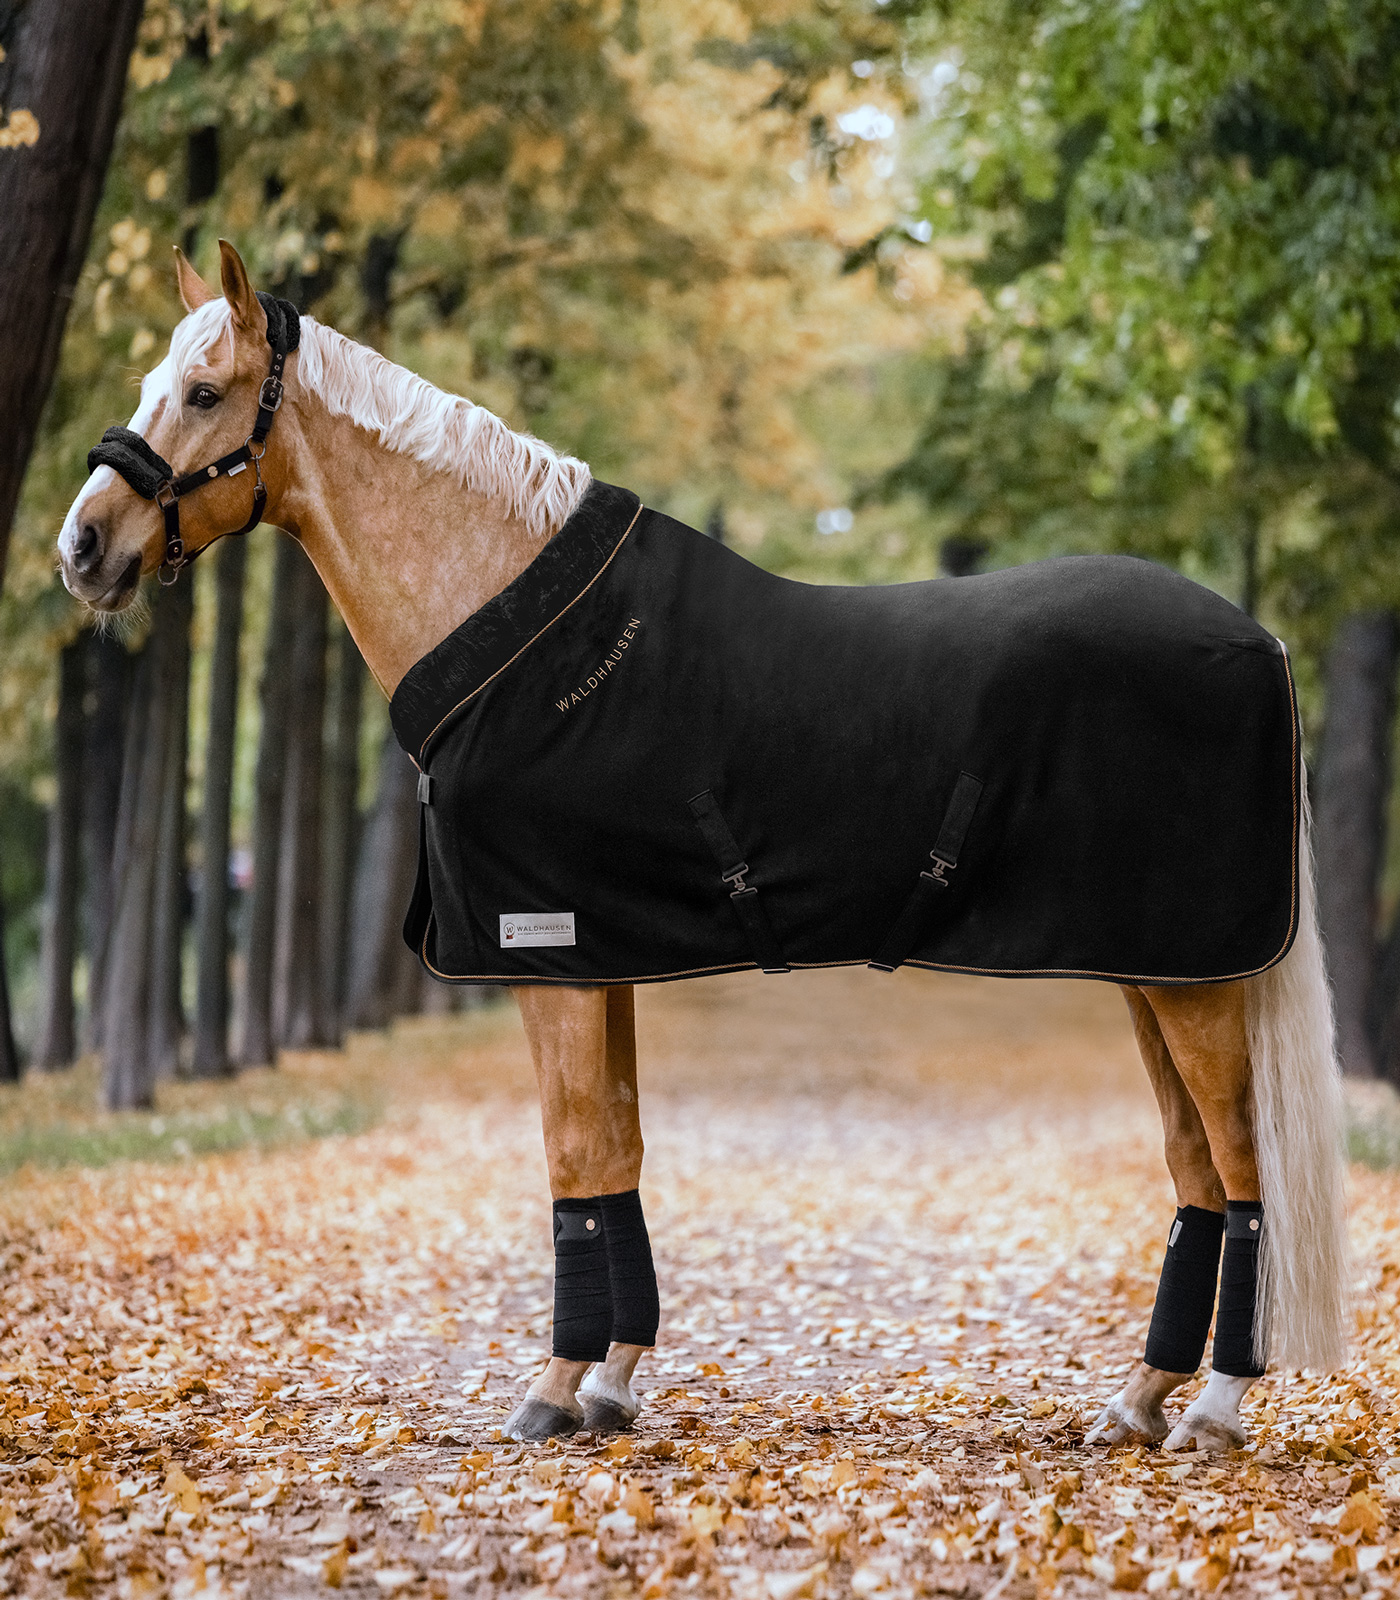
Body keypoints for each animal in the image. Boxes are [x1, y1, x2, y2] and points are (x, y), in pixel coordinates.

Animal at [60, 243, 1350, 1459]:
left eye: (205, 390)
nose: (84, 546)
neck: (515, 634)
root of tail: (1260, 639)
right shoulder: (599, 959)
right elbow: (617, 1152)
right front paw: (613, 1381)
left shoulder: (547, 959)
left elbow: (575, 1159)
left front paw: (551, 1389)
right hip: (1157, 972)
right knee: (1194, 1173)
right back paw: (1136, 1401)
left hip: (1193, 981)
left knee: (1243, 1173)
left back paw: (1215, 1406)